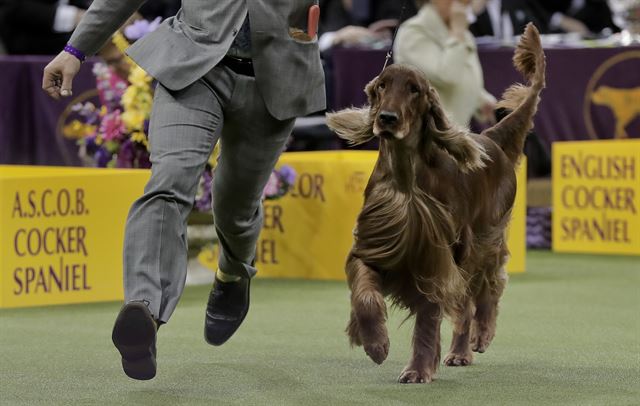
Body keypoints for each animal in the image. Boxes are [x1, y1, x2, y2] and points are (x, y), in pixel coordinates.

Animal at [330, 23, 544, 382]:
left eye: (414, 89)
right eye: (382, 85)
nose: (387, 118)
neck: (406, 179)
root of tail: (491, 139)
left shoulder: (434, 255)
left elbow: (429, 315)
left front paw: (418, 369)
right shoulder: (375, 244)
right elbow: (366, 296)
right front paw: (375, 343)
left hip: (483, 240)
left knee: (484, 291)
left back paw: (476, 338)